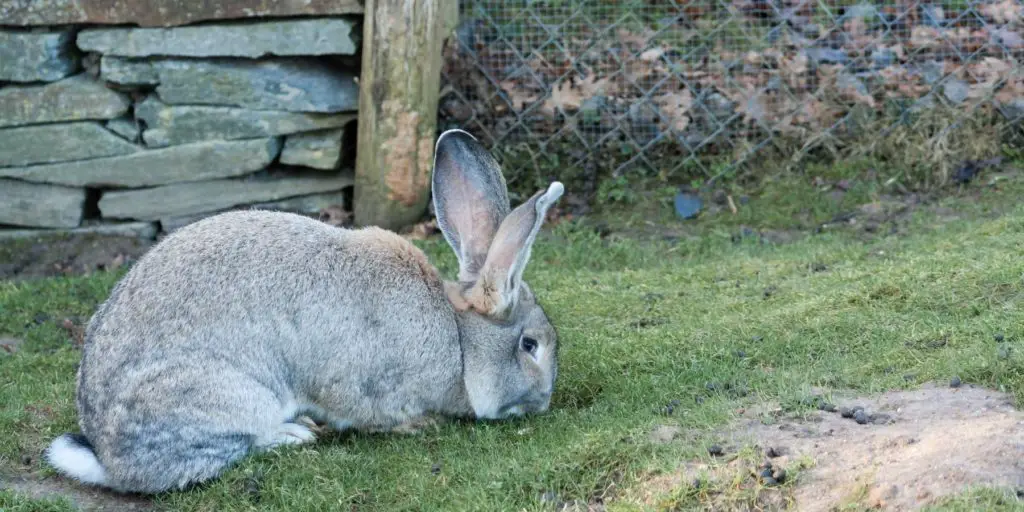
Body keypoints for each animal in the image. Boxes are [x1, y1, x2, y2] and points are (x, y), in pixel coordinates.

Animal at [44, 129, 565, 495]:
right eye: (530, 345)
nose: (544, 401)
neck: (458, 340)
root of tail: (109, 458)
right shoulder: (364, 384)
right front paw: (422, 424)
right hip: (228, 396)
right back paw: (296, 434)